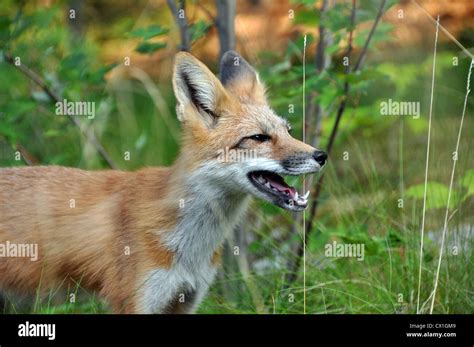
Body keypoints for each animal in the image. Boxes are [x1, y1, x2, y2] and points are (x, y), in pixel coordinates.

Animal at [0, 51, 326, 316]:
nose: (321, 155)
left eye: (288, 131)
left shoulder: (184, 300)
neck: (191, 245)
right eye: (258, 138)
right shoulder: (135, 302)